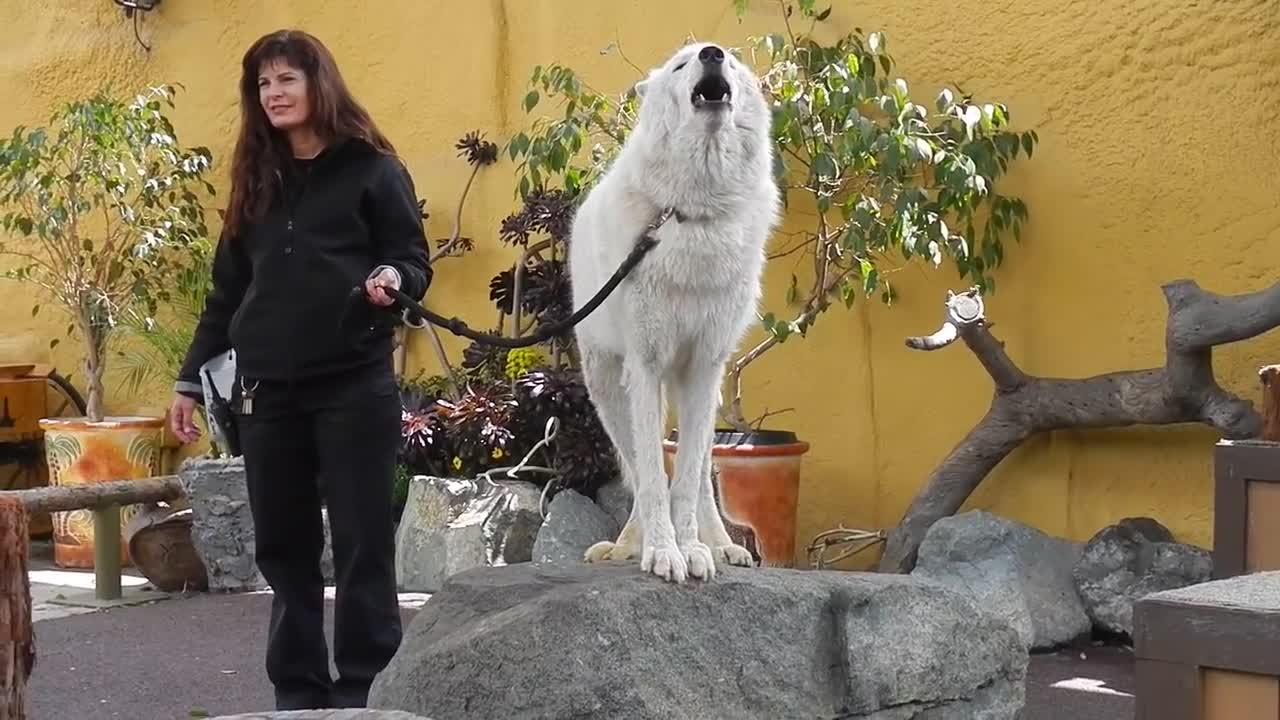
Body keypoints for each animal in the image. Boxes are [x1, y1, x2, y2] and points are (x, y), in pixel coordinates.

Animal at [570, 39, 778, 579]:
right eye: (682, 64)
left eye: (731, 61)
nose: (712, 53)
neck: (695, 215)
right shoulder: (645, 366)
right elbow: (652, 478)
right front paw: (662, 552)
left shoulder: (703, 368)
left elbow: (683, 483)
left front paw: (694, 550)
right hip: (609, 390)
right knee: (638, 471)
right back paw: (628, 544)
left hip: (702, 392)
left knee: (700, 473)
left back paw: (721, 545)